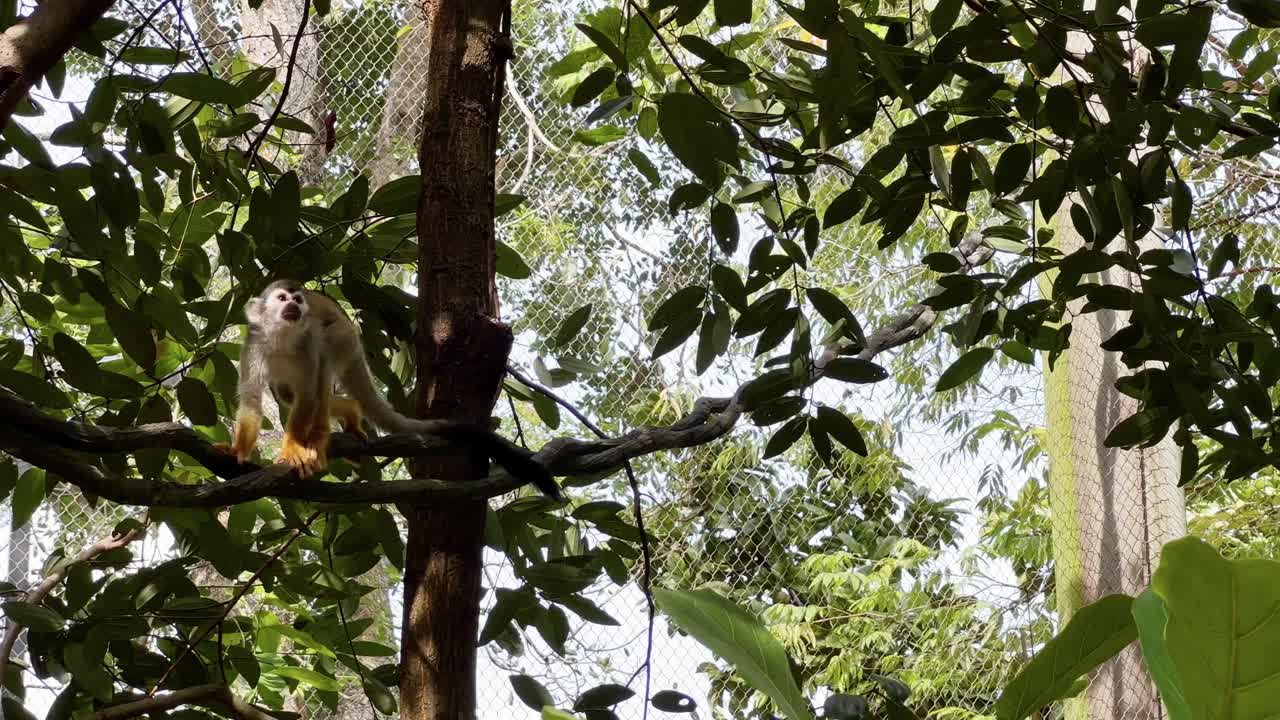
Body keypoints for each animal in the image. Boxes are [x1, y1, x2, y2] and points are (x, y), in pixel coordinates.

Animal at [216, 279, 560, 499]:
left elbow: (310, 395)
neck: (283, 337)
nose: (295, 306)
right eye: (281, 299)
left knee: (322, 368)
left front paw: (292, 450)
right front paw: (238, 451)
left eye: (297, 300)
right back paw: (347, 415)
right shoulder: (255, 343)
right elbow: (251, 399)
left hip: (344, 338)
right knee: (287, 393)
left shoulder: (307, 342)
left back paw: (322, 435)